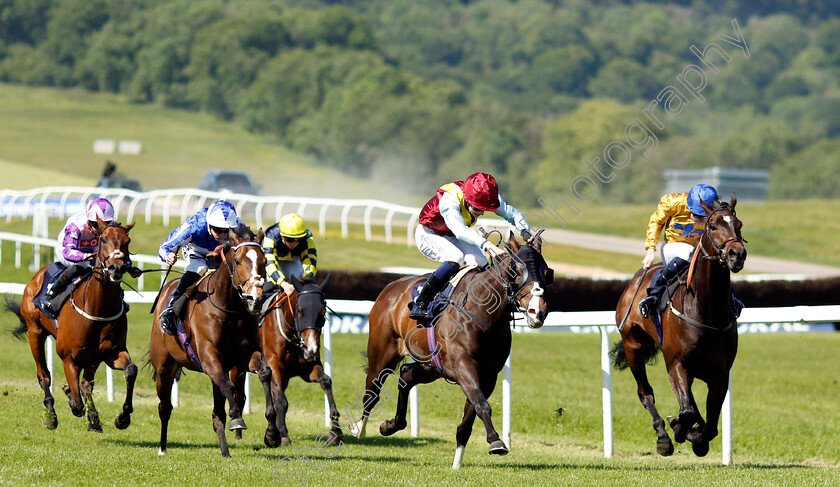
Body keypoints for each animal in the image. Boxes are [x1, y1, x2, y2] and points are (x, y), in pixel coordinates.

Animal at [5, 219, 137, 432]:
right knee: (44, 375)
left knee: (85, 384)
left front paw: (122, 417)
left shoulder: (111, 352)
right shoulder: (69, 357)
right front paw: (69, 397)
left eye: (127, 241)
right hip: (35, 332)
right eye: (103, 239)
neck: (97, 308)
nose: (116, 268)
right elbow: (76, 404)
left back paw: (93, 419)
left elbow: (131, 370)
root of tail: (37, 276)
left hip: (92, 357)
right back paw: (51, 416)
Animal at [148, 225, 282, 458]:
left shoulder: (244, 356)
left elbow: (265, 373)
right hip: (164, 366)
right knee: (165, 407)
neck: (228, 310)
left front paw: (272, 433)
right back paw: (163, 448)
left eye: (264, 260)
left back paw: (225, 451)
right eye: (237, 260)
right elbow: (228, 385)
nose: (255, 298)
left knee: (216, 413)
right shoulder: (209, 357)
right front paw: (237, 419)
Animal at [231, 272, 342, 448]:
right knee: (239, 396)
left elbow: (326, 382)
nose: (312, 347)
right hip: (238, 367)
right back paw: (238, 432)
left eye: (322, 311)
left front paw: (335, 430)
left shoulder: (307, 368)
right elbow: (281, 401)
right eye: (300, 310)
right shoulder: (274, 365)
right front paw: (282, 434)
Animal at [348, 232, 552, 468]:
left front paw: (458, 463)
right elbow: (482, 404)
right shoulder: (463, 364)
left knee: (406, 375)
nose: (538, 311)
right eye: (515, 271)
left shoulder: (488, 375)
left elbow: (469, 419)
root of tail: (389, 289)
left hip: (432, 367)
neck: (484, 314)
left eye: (547, 272)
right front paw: (496, 441)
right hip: (382, 355)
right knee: (371, 392)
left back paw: (390, 425)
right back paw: (359, 429)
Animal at [612, 194, 748, 458]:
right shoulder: (676, 363)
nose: (737, 254)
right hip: (633, 345)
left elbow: (710, 424)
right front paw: (677, 428)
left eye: (739, 225)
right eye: (712, 226)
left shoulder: (720, 373)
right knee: (645, 393)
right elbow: (687, 412)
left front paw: (697, 437)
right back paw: (663, 437)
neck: (707, 312)